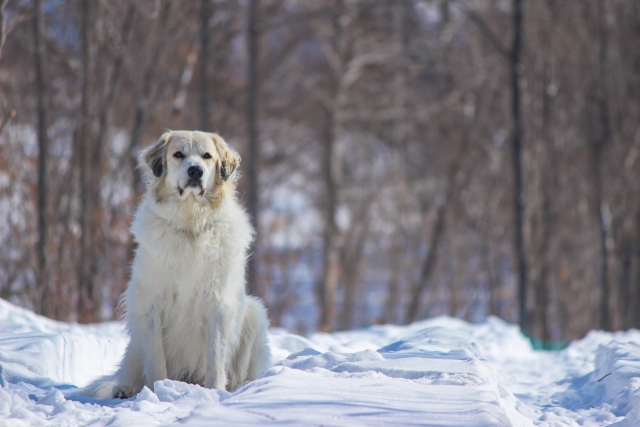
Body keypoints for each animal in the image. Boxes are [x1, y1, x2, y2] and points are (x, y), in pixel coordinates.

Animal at [82, 131, 270, 402]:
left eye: (207, 156)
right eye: (178, 154)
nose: (195, 171)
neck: (191, 224)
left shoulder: (218, 304)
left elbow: (216, 356)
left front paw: (215, 392)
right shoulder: (150, 304)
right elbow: (156, 357)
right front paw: (158, 389)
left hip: (254, 314)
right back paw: (125, 389)